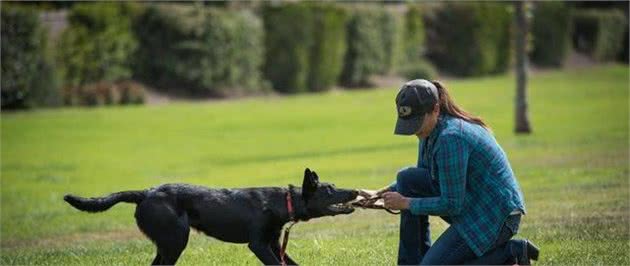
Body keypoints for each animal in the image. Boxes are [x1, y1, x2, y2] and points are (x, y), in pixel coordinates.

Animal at [65, 168, 360, 264]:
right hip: (176, 241)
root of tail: (145, 193)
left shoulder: (275, 244)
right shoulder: (258, 245)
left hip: (166, 244)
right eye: (329, 190)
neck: (282, 202)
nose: (355, 190)